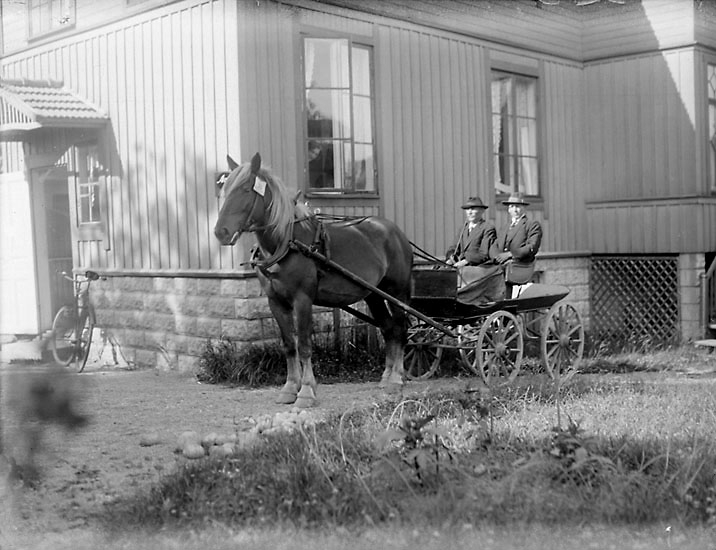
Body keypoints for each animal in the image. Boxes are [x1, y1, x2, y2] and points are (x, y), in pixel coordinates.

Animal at [214, 153, 413, 407]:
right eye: (225, 189)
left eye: (247, 189)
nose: (221, 232)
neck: (287, 243)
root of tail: (396, 232)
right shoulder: (275, 301)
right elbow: (289, 345)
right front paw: (290, 388)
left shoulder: (303, 299)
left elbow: (304, 345)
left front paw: (307, 391)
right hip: (374, 295)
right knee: (388, 328)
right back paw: (386, 377)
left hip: (397, 292)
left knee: (399, 328)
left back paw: (397, 379)